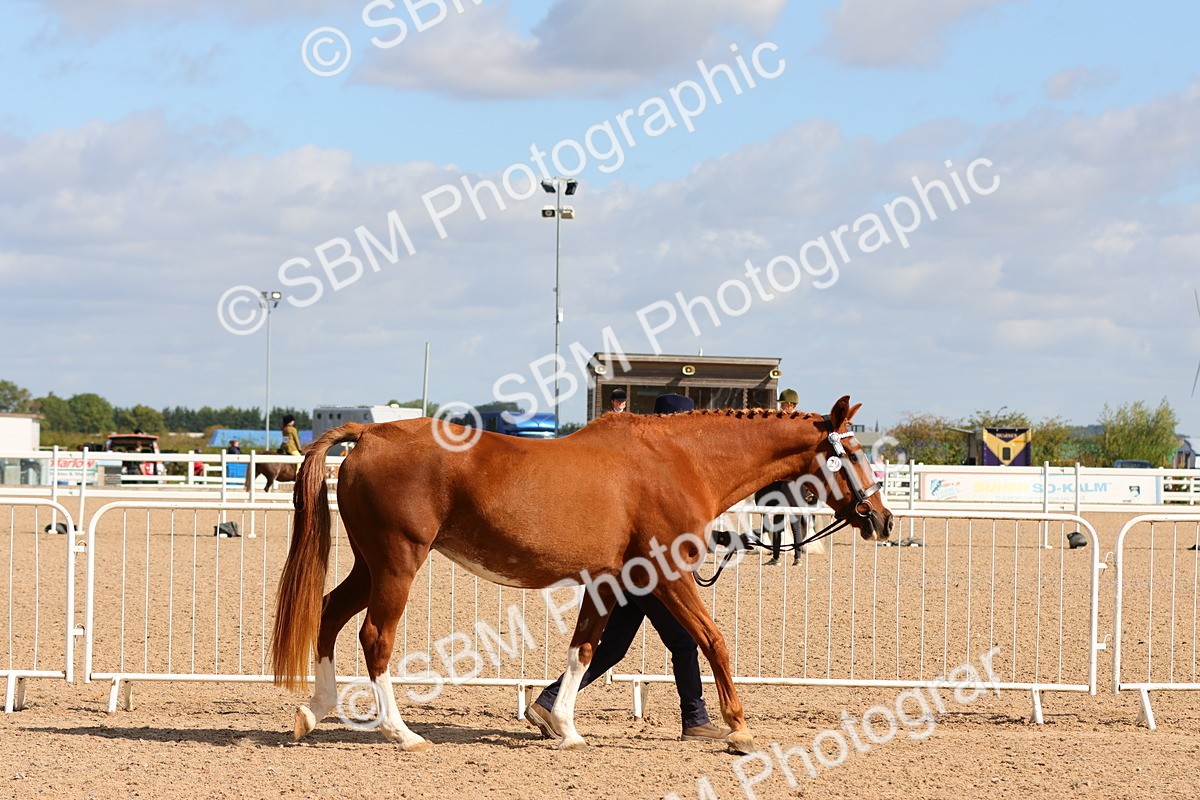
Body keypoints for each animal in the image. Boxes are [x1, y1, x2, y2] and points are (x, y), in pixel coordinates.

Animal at [271, 395, 893, 754]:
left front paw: (564, 726)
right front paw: (738, 727)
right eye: (853, 453)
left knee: (329, 614)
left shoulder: (611, 582)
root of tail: (369, 433)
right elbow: (711, 639)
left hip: (370, 563)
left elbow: (586, 649)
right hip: (398, 562)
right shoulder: (668, 575)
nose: (882, 520)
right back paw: (401, 732)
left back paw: (314, 711)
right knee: (375, 637)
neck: (679, 460)